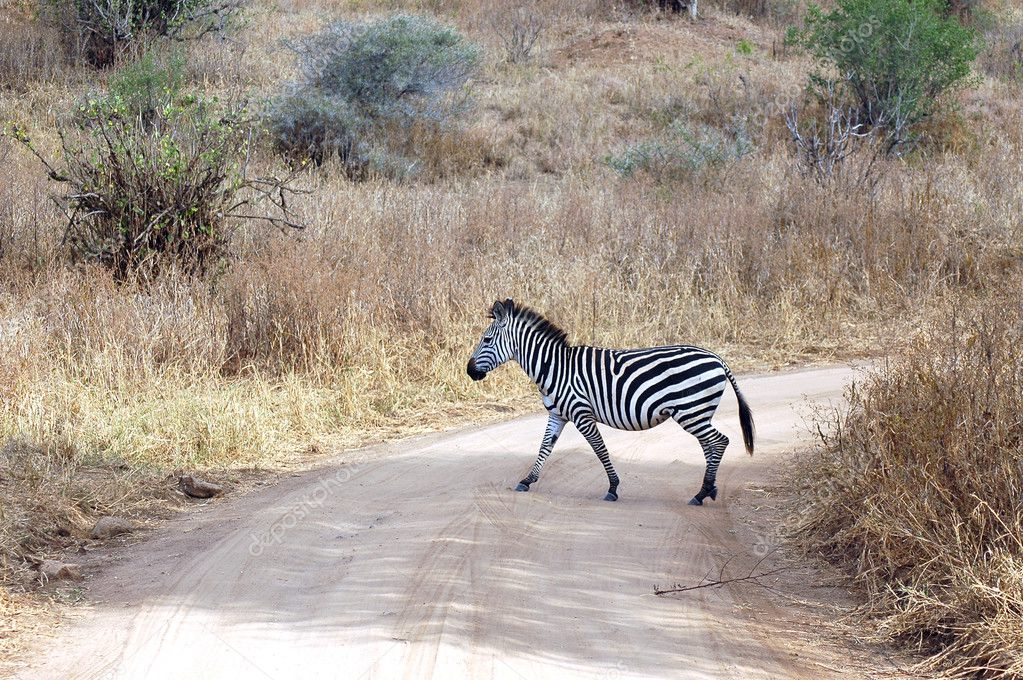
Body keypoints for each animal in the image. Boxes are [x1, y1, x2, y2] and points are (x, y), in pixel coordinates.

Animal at [468, 298, 757, 503]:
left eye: (487, 339)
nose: (470, 371)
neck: (555, 368)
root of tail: (716, 357)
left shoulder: (581, 413)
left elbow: (599, 449)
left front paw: (613, 488)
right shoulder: (557, 415)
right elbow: (544, 448)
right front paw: (527, 480)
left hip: (691, 411)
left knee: (719, 441)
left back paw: (701, 493)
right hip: (698, 413)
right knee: (710, 445)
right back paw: (707, 489)